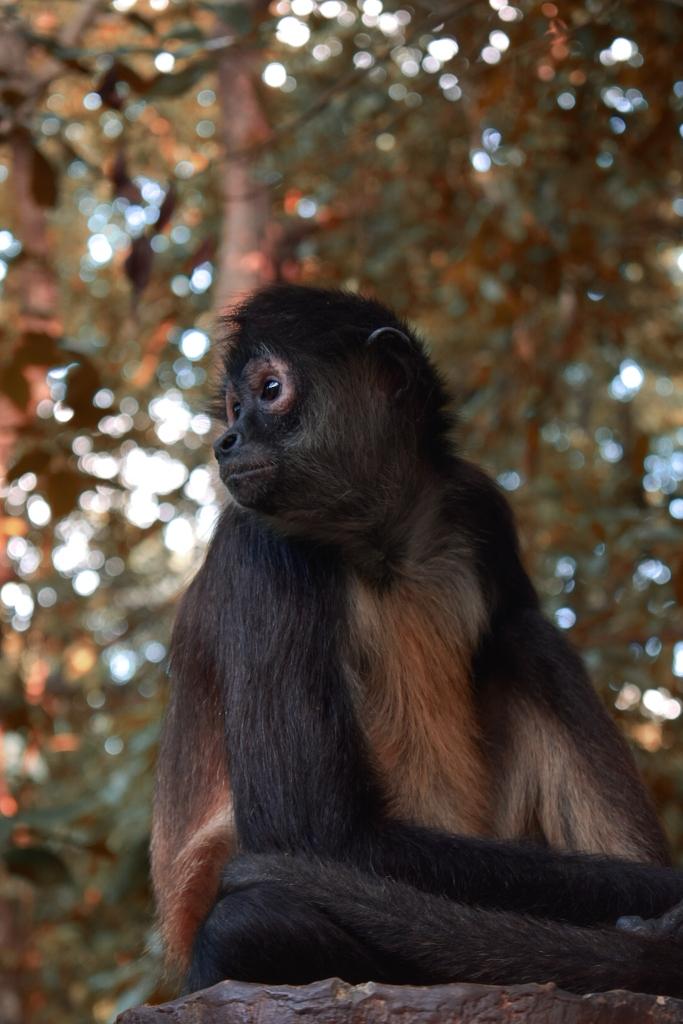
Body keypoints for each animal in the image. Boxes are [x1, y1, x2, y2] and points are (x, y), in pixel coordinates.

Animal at [152, 284, 683, 998]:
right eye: (235, 408)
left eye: (269, 390)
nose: (226, 442)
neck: (385, 542)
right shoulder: (260, 546)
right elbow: (313, 834)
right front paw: (664, 897)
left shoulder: (478, 504)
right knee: (250, 924)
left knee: (524, 637)